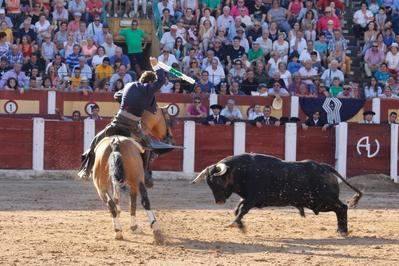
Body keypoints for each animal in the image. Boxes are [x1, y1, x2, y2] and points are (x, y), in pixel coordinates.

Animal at [94, 105, 175, 243]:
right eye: (169, 119)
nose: (170, 139)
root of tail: (115, 143)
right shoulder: (133, 183)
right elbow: (132, 202)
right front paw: (134, 227)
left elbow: (119, 199)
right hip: (136, 180)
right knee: (144, 201)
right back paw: (156, 231)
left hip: (101, 185)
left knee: (111, 204)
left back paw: (118, 232)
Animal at [192, 153, 364, 236]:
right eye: (209, 183)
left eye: (217, 181)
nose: (219, 202)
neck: (241, 171)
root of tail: (326, 167)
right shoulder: (247, 198)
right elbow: (237, 209)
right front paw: (240, 225)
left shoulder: (252, 198)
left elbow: (241, 210)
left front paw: (235, 224)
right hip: (319, 202)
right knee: (340, 209)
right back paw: (340, 230)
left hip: (322, 201)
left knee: (342, 208)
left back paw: (343, 230)